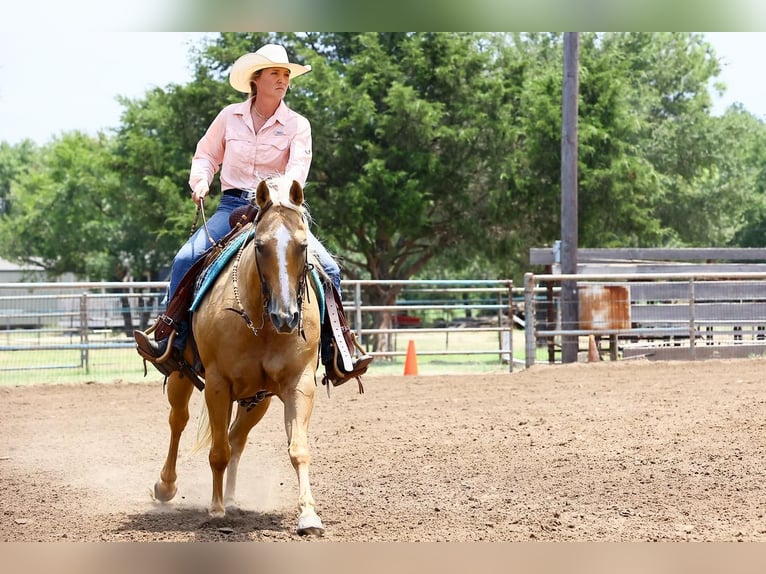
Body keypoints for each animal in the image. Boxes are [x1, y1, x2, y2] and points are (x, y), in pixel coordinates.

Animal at [153, 178, 328, 536]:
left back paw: (233, 499)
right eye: (260, 246)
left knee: (236, 438)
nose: (286, 316)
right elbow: (217, 452)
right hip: (180, 376)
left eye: (303, 245)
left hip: (256, 399)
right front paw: (216, 510)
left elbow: (298, 449)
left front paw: (308, 515)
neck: (262, 325)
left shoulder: (299, 383)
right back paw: (167, 486)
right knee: (179, 422)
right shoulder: (217, 385)